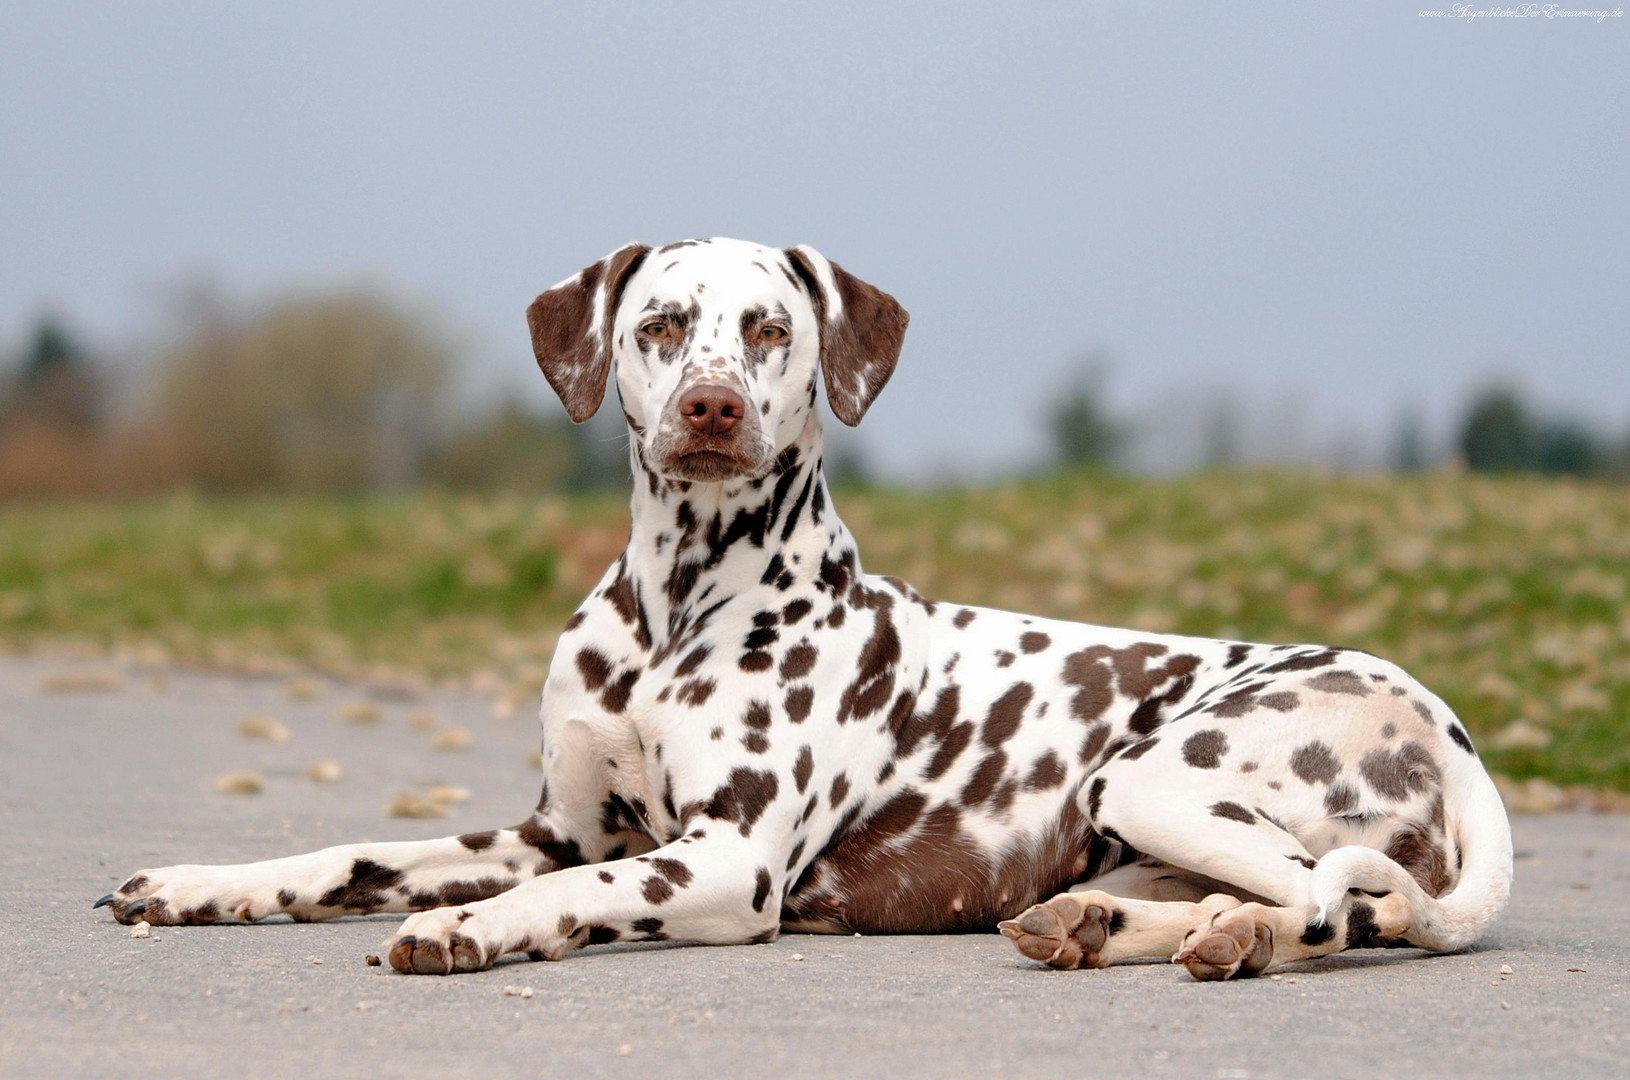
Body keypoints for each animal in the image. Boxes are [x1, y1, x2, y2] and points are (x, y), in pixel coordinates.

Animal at [95, 241, 1506, 983]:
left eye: (770, 329)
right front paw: (206, 884)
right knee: (1289, 896)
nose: (711, 405)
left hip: (1157, 776)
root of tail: (1445, 727)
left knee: (1340, 902)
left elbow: (581, 892)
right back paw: (1112, 922)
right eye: (664, 324)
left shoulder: (724, 859)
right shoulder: (548, 829)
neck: (676, 608)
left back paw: (1240, 935)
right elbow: (347, 854)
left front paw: (469, 925)